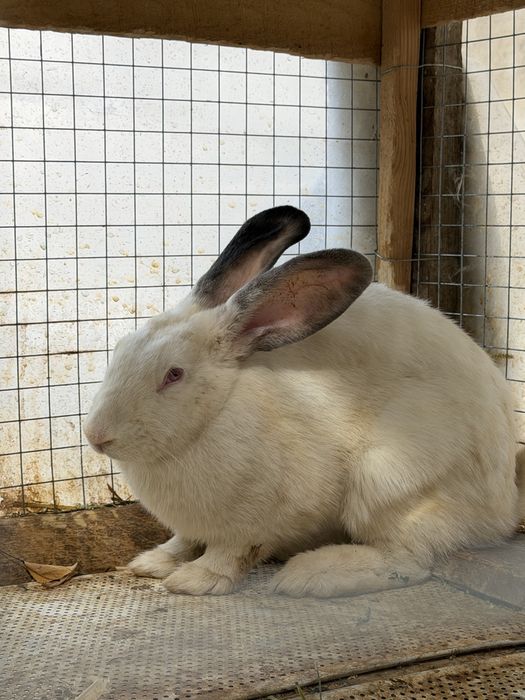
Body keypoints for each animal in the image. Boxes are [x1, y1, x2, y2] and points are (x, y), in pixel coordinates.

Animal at [83, 205, 524, 598]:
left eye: (173, 375)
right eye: (119, 349)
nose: (96, 436)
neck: (215, 415)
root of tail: (502, 506)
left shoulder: (255, 521)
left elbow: (232, 552)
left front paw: (195, 580)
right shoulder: (192, 526)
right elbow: (183, 541)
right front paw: (153, 562)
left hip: (389, 483)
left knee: (409, 559)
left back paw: (311, 575)